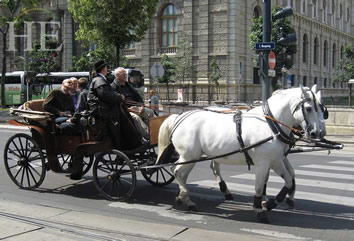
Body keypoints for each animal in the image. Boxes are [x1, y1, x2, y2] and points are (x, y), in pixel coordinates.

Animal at [158, 85, 326, 223]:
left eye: (322, 109)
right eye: (309, 108)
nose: (318, 133)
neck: (271, 124)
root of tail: (179, 117)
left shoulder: (276, 161)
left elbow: (289, 180)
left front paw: (271, 202)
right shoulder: (263, 163)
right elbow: (259, 186)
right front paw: (260, 209)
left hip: (193, 157)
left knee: (182, 172)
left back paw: (183, 196)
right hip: (190, 156)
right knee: (177, 171)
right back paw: (188, 199)